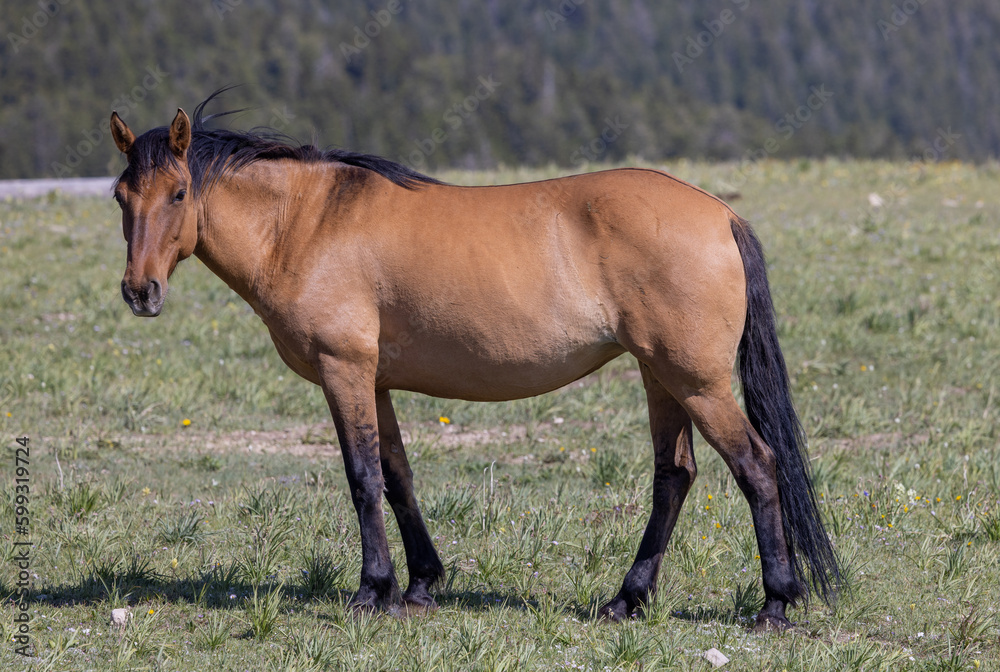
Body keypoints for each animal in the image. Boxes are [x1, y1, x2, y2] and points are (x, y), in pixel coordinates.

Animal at [109, 95, 837, 631]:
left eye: (179, 193)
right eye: (121, 196)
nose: (140, 292)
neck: (306, 223)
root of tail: (721, 216)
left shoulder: (343, 371)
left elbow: (362, 479)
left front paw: (372, 591)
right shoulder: (374, 382)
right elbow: (397, 477)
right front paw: (419, 585)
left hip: (697, 382)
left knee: (756, 465)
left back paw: (776, 601)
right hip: (661, 376)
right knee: (674, 476)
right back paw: (626, 600)